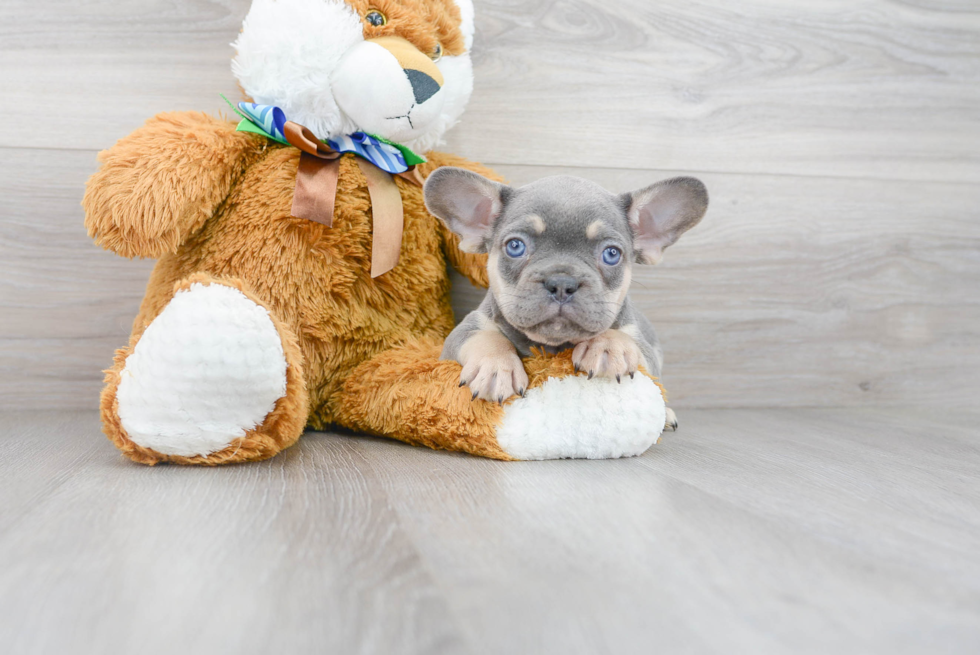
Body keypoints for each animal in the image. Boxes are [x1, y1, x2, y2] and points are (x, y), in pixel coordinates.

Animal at [424, 168, 708, 430]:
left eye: (612, 254)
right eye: (515, 246)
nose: (561, 282)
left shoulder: (646, 352)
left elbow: (622, 337)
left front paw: (608, 345)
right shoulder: (465, 330)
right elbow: (485, 337)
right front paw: (495, 366)